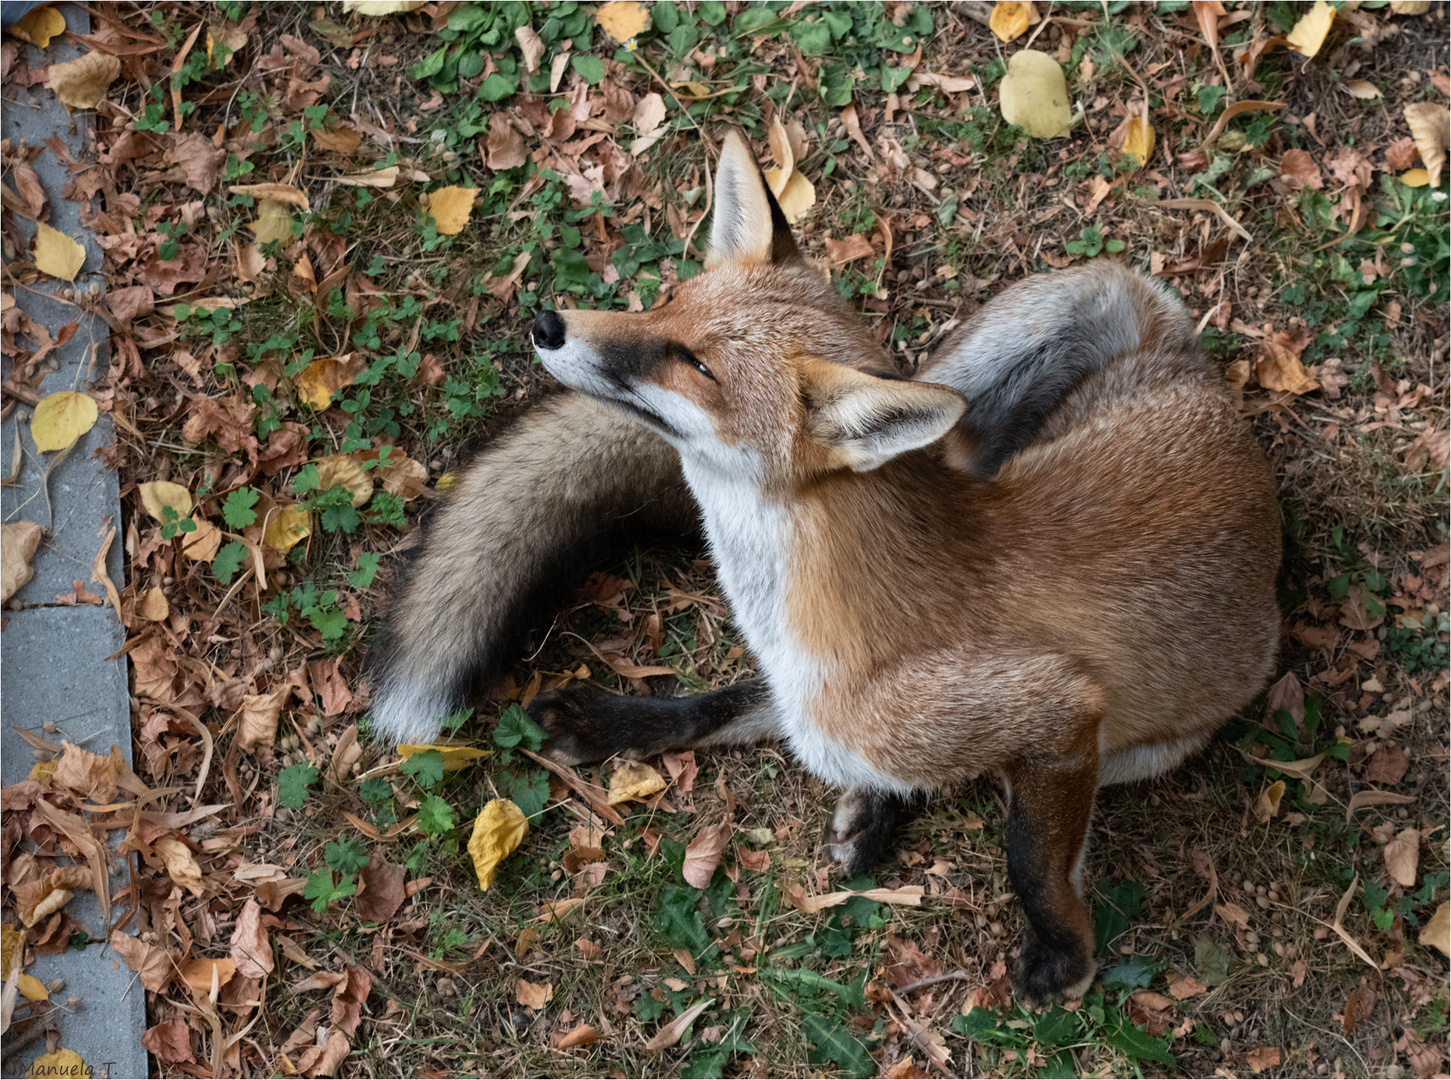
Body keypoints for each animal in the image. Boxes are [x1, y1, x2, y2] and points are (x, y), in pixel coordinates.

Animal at [374, 130, 1282, 998]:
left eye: (697, 365)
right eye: (666, 301)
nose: (547, 324)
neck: (805, 626)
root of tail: (1190, 368)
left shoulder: (1059, 715)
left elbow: (1030, 856)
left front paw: (1061, 952)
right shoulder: (808, 696)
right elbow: (727, 704)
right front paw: (619, 724)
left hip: (1145, 744)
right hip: (1006, 367)